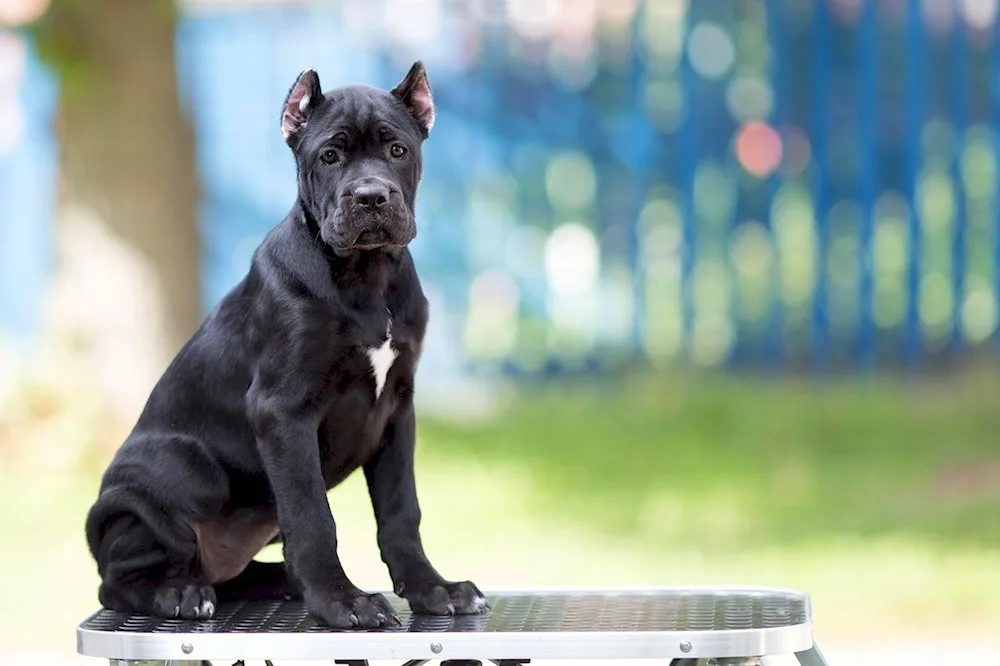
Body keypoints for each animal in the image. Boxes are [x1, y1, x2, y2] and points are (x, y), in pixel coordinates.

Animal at [84, 62, 490, 628]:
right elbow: (313, 517)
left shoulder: (397, 410)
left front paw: (433, 589)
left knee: (226, 575)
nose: (371, 197)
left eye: (398, 150)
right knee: (118, 582)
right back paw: (178, 594)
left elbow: (401, 511)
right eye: (329, 156)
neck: (367, 276)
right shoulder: (283, 412)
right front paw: (340, 601)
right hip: (181, 468)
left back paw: (278, 581)